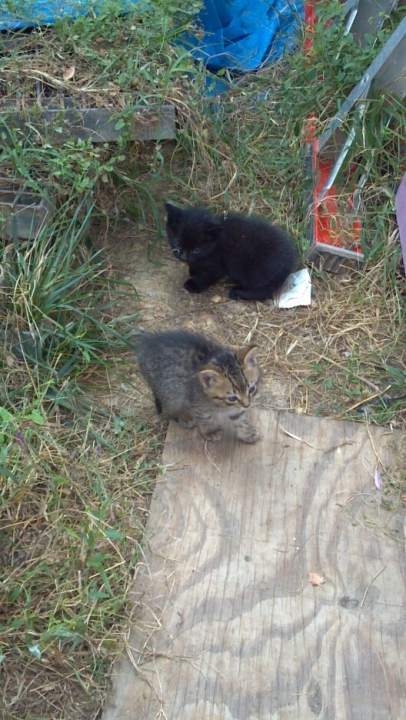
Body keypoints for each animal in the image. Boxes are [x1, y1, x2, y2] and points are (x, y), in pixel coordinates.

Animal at [165, 202, 297, 301]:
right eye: (177, 244)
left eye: (196, 250)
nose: (183, 256)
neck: (216, 242)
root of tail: (290, 261)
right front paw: (193, 270)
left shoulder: (216, 264)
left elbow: (207, 275)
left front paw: (194, 284)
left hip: (251, 270)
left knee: (265, 291)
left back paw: (237, 292)